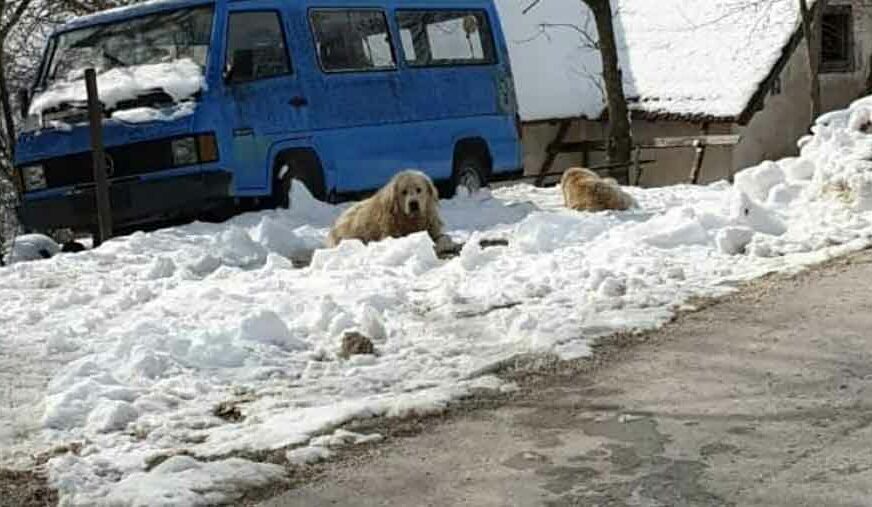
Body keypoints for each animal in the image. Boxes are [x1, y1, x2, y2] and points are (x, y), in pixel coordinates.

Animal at [326, 171, 454, 250]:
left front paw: (447, 244)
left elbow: (444, 237)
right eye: (404, 192)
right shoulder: (390, 233)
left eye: (419, 189)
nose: (413, 204)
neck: (410, 220)